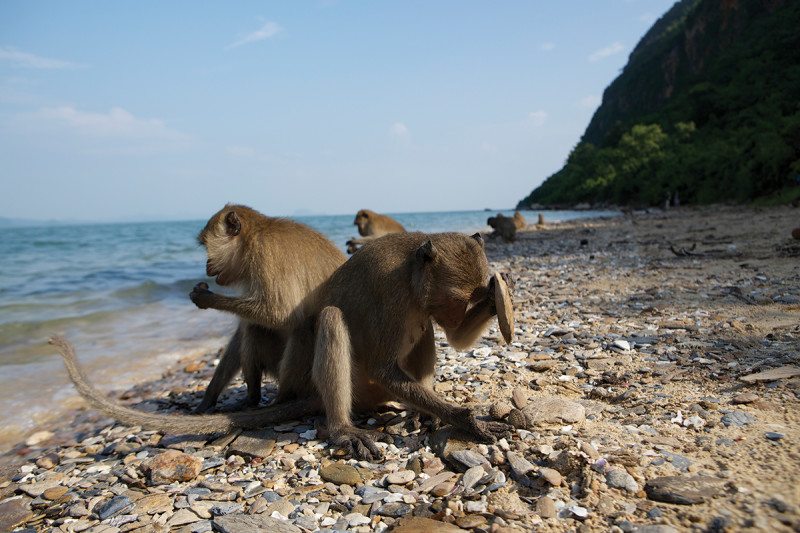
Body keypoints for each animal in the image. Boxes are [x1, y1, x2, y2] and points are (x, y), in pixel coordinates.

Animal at [51, 231, 512, 460]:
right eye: (457, 299)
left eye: (469, 298)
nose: (463, 309)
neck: (414, 277)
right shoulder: (392, 295)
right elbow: (385, 366)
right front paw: (467, 420)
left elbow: (453, 339)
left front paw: (495, 298)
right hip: (359, 389)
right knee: (332, 320)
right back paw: (343, 427)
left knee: (423, 334)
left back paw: (420, 411)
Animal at [192, 205, 348, 412]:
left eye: (206, 246)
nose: (206, 264)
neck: (252, 236)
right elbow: (244, 330)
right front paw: (208, 397)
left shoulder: (265, 253)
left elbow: (281, 315)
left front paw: (206, 298)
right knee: (255, 329)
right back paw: (253, 397)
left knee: (301, 325)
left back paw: (283, 396)